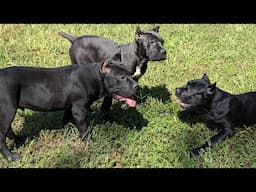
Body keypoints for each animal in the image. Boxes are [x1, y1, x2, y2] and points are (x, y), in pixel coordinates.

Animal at [0, 55, 138, 160]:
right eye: (122, 77)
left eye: (131, 75)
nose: (137, 86)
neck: (95, 76)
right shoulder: (79, 110)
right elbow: (85, 129)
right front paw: (90, 142)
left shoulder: (70, 107)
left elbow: (66, 121)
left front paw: (68, 134)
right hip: (8, 111)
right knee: (2, 137)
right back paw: (11, 157)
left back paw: (18, 139)